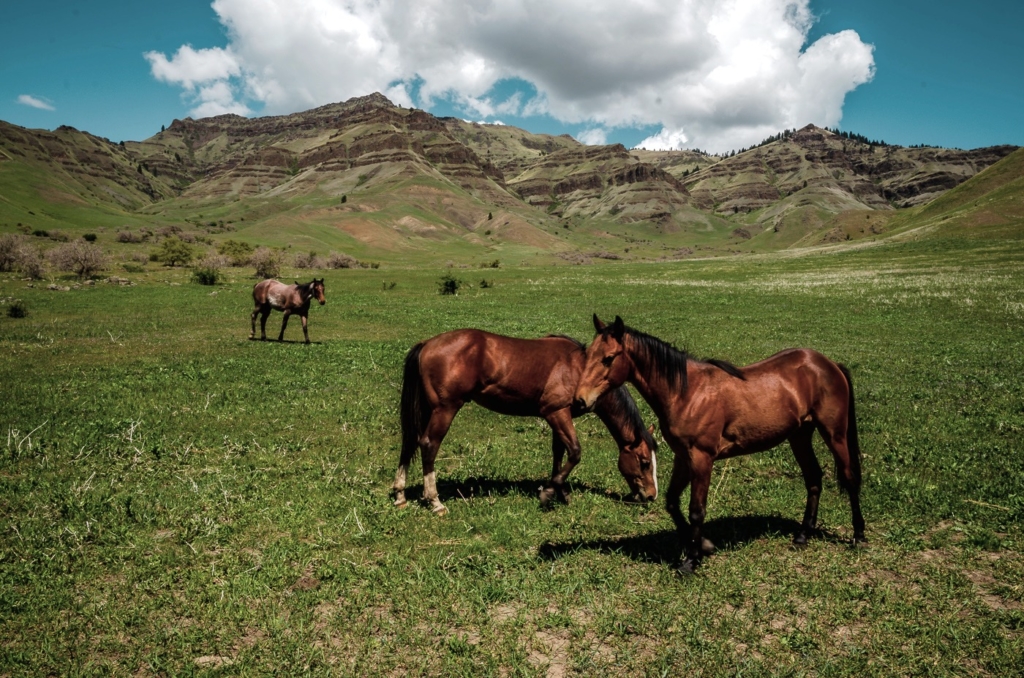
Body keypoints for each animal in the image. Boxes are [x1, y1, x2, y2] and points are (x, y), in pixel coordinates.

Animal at [395, 329, 659, 516]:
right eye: (645, 462)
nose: (651, 496)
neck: (580, 370)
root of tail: (427, 344)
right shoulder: (557, 413)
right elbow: (574, 453)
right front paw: (550, 493)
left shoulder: (557, 416)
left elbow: (558, 454)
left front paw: (559, 492)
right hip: (445, 409)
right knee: (429, 445)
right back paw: (435, 501)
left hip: (427, 409)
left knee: (410, 442)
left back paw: (400, 496)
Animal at [577, 315, 864, 577]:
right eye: (588, 355)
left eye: (608, 358)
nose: (580, 401)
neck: (687, 393)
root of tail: (828, 364)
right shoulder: (683, 457)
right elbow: (672, 502)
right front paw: (704, 545)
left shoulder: (702, 459)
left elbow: (696, 510)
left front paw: (691, 561)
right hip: (800, 435)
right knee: (814, 478)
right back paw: (803, 535)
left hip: (834, 434)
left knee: (849, 478)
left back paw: (859, 535)